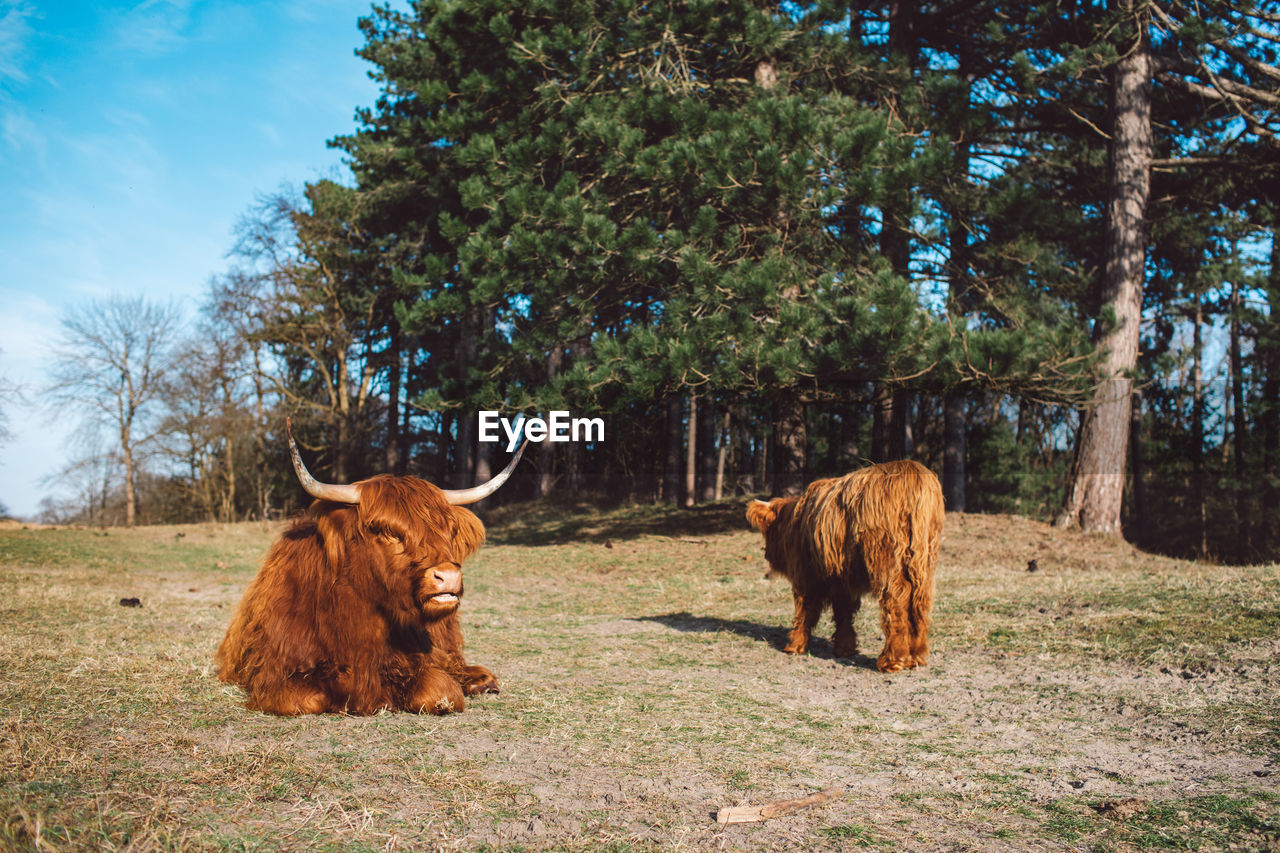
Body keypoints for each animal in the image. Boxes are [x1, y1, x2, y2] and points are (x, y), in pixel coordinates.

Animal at [217, 417, 527, 712]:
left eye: (450, 530)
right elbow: (308, 699)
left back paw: (482, 680)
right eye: (387, 532)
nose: (448, 576)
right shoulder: (276, 673)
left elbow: (441, 691)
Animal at [747, 458, 947, 671]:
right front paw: (844, 649)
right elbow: (843, 613)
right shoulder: (842, 577)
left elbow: (806, 611)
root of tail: (911, 471)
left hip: (888, 562)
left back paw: (892, 660)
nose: (766, 553)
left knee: (896, 604)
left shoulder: (807, 575)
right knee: (919, 603)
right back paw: (916, 656)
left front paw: (795, 645)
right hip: (924, 561)